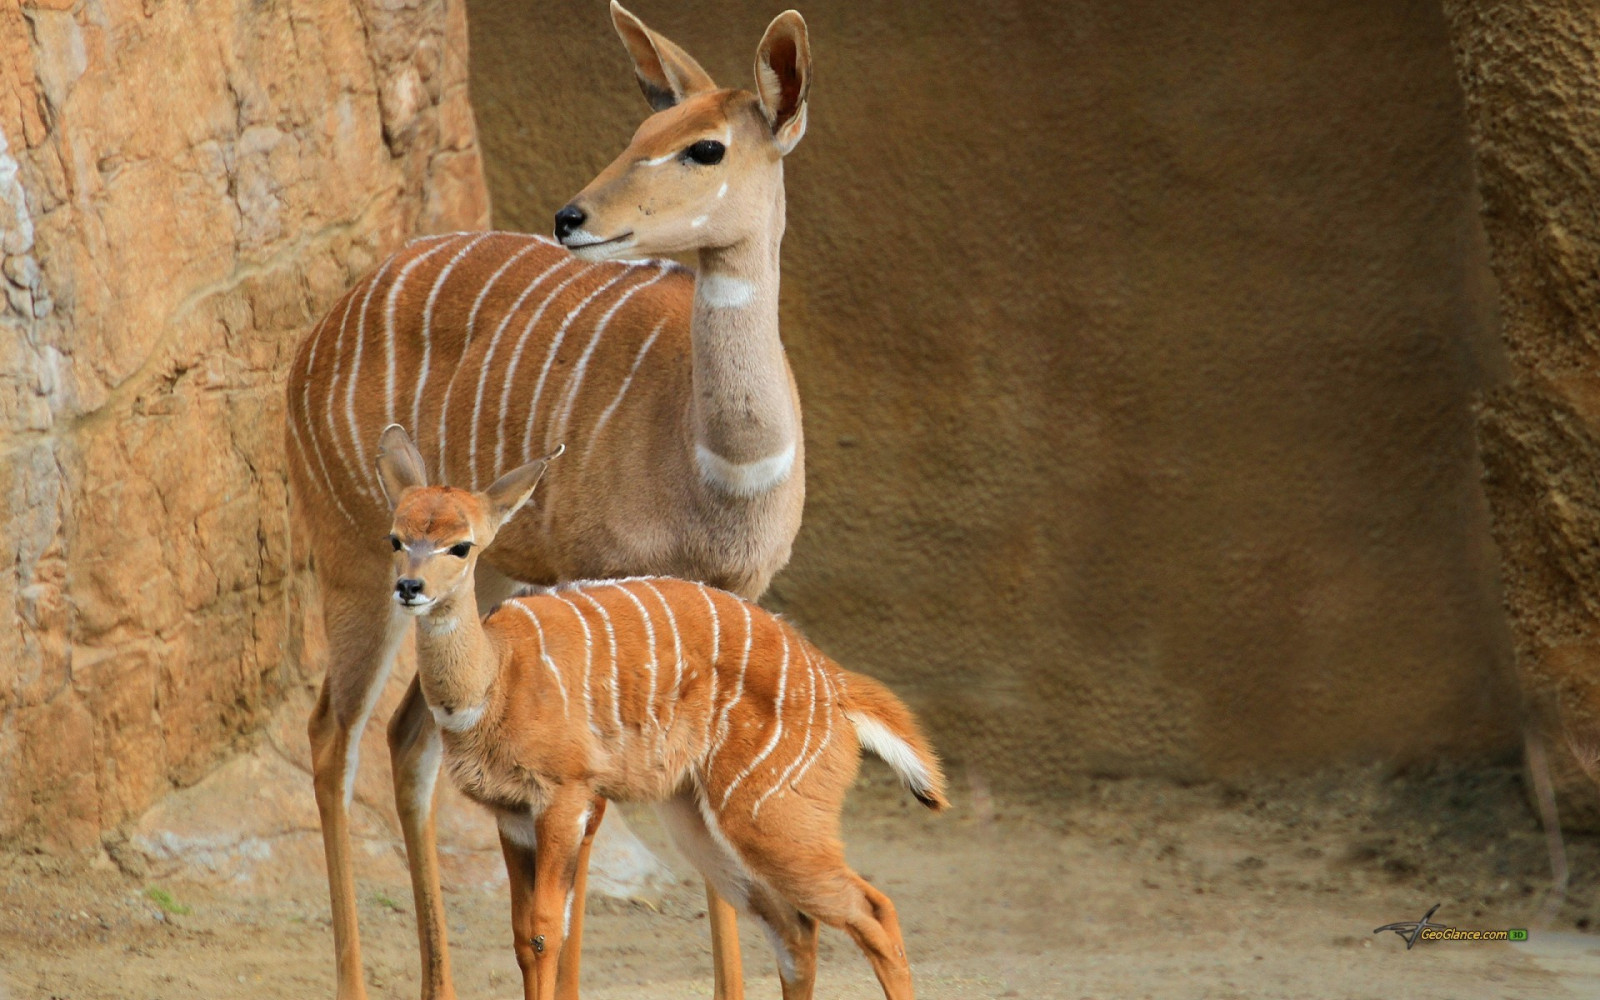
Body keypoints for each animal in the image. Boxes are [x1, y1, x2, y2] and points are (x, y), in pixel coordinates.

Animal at [283, 5, 815, 999]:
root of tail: (320, 330)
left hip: (470, 573)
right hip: (358, 558)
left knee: (409, 739)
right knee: (334, 735)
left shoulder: (727, 607)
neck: (718, 467)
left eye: (705, 146)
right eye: (641, 127)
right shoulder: (596, 587)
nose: (573, 216)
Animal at [373, 425, 947, 1000]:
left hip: (775, 819)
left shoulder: (565, 796)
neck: (495, 676)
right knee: (795, 927)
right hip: (701, 821)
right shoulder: (511, 814)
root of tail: (836, 685)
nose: (409, 588)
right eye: (396, 539)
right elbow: (521, 936)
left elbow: (545, 931)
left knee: (873, 911)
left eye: (461, 545)